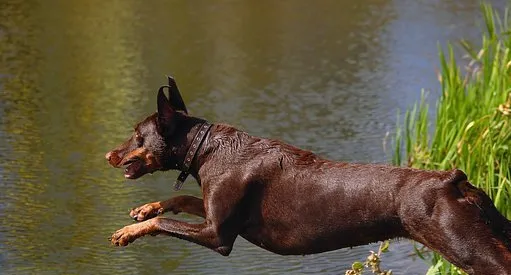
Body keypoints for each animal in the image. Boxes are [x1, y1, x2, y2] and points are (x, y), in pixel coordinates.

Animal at [106, 76, 511, 274]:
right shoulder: (213, 213)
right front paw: (144, 209)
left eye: (136, 134)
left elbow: (163, 224)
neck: (205, 151)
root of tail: (453, 179)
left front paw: (128, 231)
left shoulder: (218, 236)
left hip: (469, 250)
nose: (109, 154)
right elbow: (179, 199)